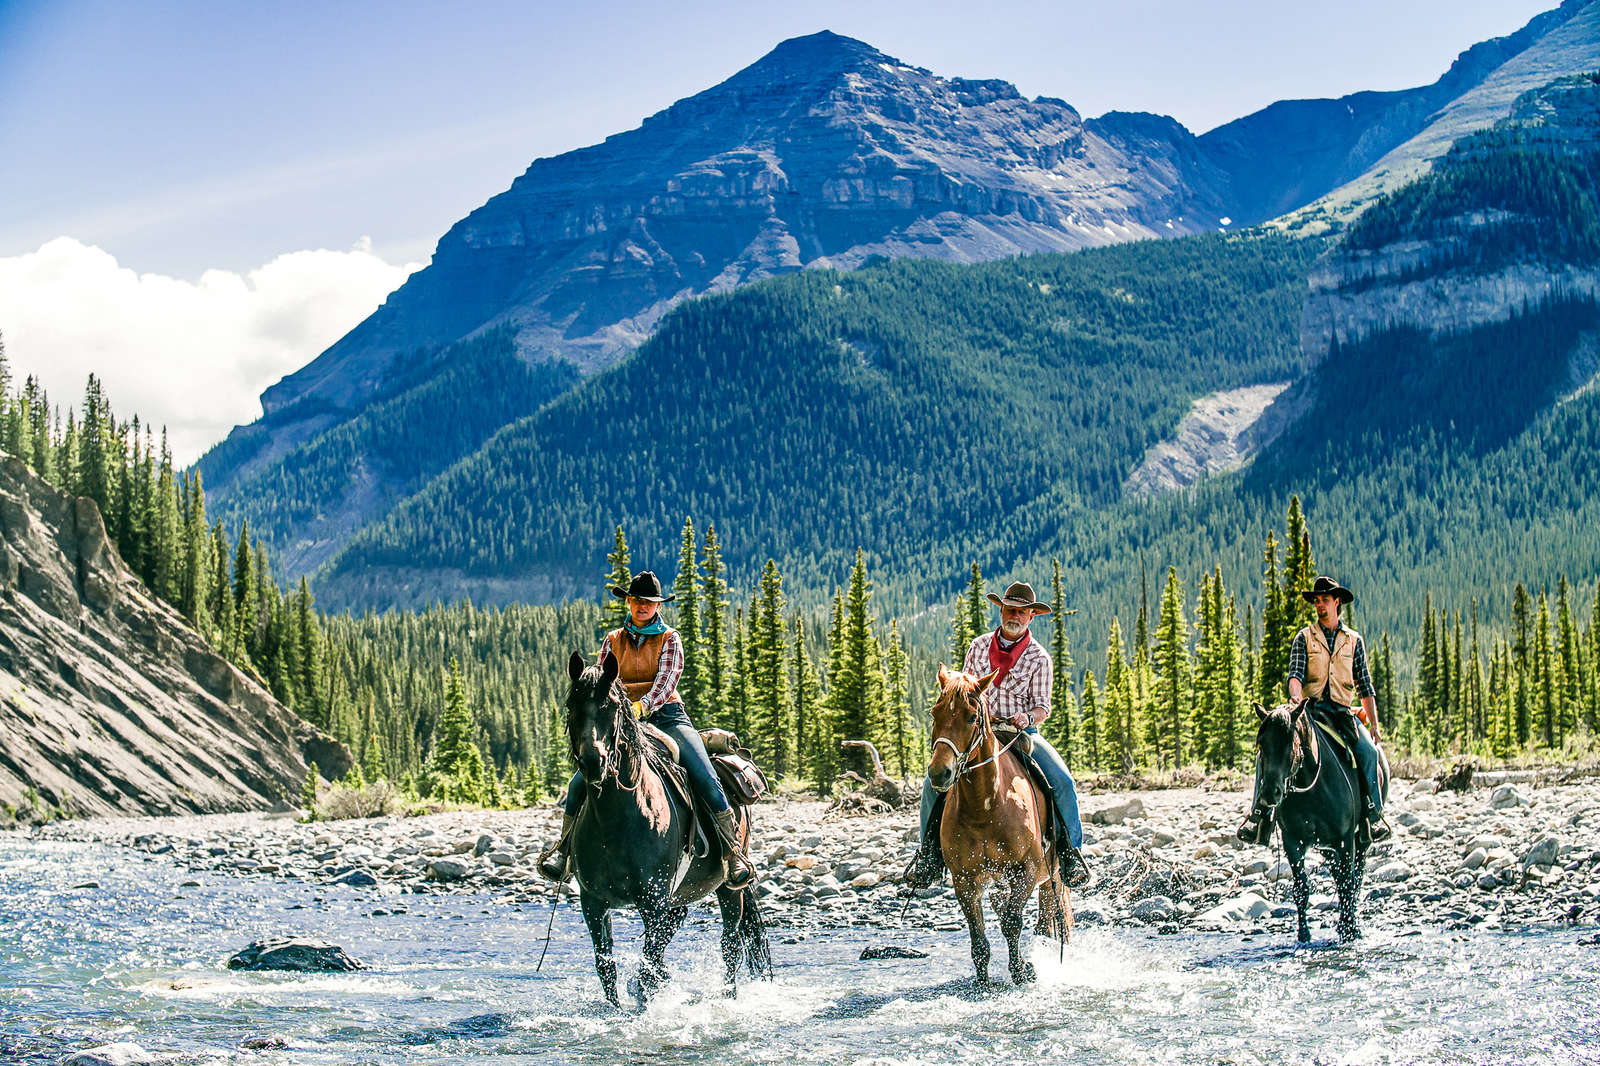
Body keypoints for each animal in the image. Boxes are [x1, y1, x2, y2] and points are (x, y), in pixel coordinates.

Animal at [560, 646, 771, 1005]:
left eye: (612, 707)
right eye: (571, 705)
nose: (592, 762)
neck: (616, 820)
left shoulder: (654, 901)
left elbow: (649, 964)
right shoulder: (593, 902)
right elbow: (607, 967)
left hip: (728, 888)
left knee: (730, 944)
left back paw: (729, 997)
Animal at [928, 659, 1075, 985]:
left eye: (972, 717)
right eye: (934, 713)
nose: (939, 773)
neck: (984, 808)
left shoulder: (1027, 870)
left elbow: (1012, 921)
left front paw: (1022, 972)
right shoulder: (965, 879)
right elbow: (979, 935)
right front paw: (983, 982)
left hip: (1053, 875)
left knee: (1045, 920)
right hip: (998, 883)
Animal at [1248, 697, 1388, 941]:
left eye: (1290, 743)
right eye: (1262, 744)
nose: (1270, 793)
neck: (1311, 788)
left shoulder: (1344, 840)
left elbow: (1348, 882)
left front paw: (1350, 930)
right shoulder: (1293, 842)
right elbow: (1301, 888)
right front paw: (1303, 934)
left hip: (1361, 839)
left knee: (1357, 874)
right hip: (1325, 847)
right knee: (1339, 874)